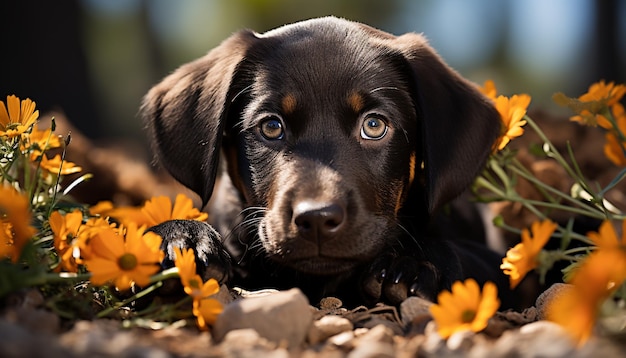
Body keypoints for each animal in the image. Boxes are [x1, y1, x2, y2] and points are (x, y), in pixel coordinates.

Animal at [144, 16, 516, 308]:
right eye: (271, 127)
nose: (318, 218)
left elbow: (466, 257)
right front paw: (179, 239)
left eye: (374, 125)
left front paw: (413, 261)